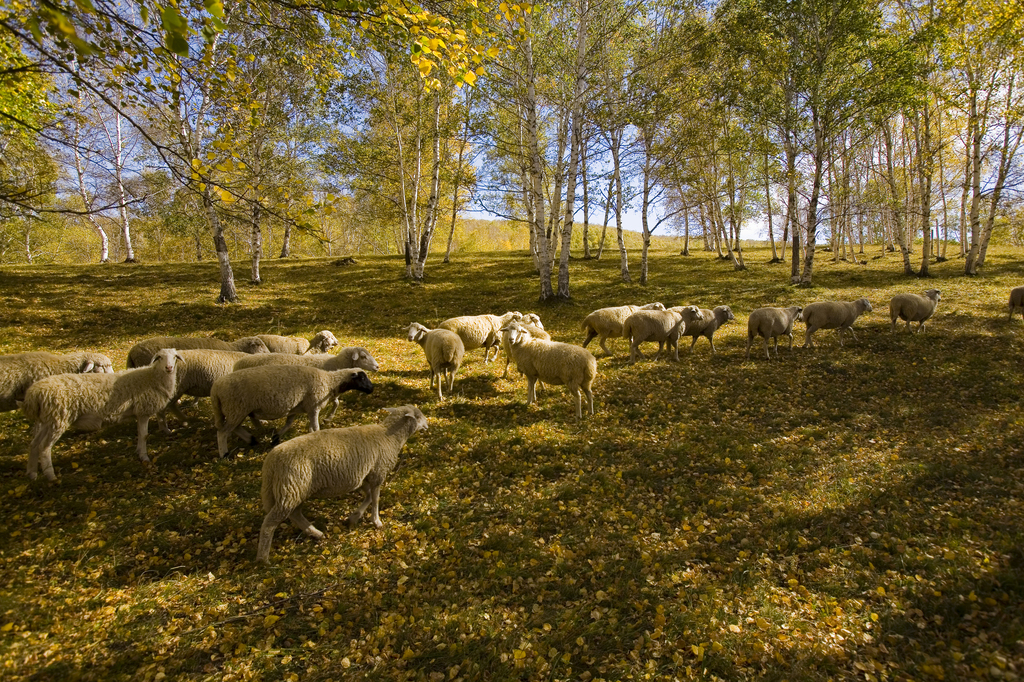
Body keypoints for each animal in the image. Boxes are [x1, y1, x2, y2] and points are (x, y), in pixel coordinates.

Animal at [20, 348, 183, 481]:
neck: (152, 376)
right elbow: (144, 435)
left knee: (34, 444)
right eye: (160, 357)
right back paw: (50, 476)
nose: (169, 367)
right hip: (58, 419)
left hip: (48, 421)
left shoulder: (139, 413)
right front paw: (144, 457)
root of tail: (34, 394)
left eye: (175, 357)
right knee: (44, 448)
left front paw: (138, 451)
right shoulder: (143, 410)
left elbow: (139, 434)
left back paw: (32, 474)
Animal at [209, 364, 374, 454]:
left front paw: (276, 438)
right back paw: (224, 453)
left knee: (234, 428)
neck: (330, 382)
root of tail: (215, 389)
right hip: (236, 408)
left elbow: (289, 424)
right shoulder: (313, 406)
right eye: (362, 378)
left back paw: (252, 440)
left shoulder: (296, 409)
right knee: (223, 432)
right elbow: (316, 427)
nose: (372, 388)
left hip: (237, 410)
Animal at [260, 403, 432, 561]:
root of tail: (271, 464)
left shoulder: (363, 476)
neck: (388, 436)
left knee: (295, 514)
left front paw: (354, 517)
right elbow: (375, 499)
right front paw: (376, 521)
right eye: (418, 416)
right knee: (270, 523)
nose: (427, 424)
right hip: (291, 489)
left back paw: (316, 533)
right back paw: (263, 558)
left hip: (293, 491)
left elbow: (369, 497)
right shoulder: (377, 473)